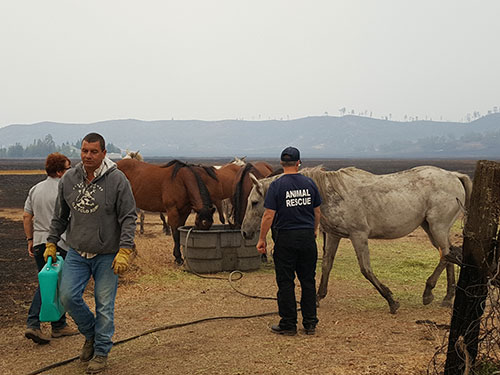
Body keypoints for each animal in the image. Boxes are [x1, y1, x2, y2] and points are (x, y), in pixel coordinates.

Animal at [240, 167, 470, 314]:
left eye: (254, 202)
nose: (244, 232)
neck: (330, 193)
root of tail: (454, 175)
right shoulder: (334, 235)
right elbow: (326, 265)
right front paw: (318, 297)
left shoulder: (358, 235)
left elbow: (365, 269)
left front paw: (391, 300)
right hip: (431, 228)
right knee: (448, 254)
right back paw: (446, 297)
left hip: (437, 227)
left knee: (447, 254)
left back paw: (429, 292)